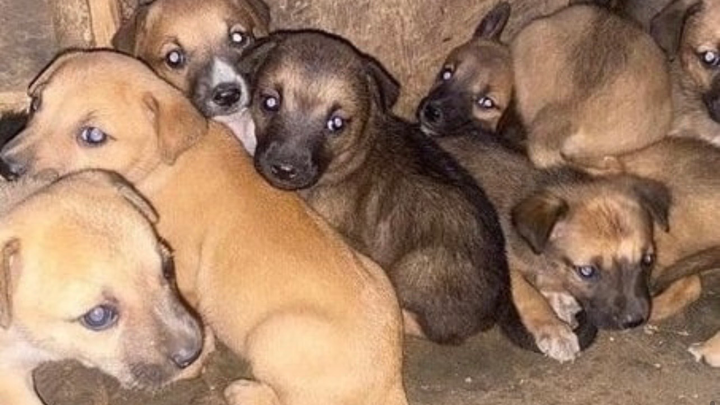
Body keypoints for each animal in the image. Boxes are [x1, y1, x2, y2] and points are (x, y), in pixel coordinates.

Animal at [233, 30, 539, 350]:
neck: (350, 158)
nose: (284, 168)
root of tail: (501, 301)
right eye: (269, 102)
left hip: (419, 268)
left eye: (336, 123)